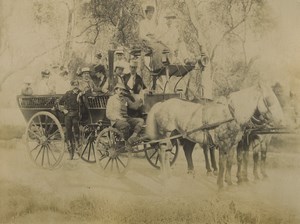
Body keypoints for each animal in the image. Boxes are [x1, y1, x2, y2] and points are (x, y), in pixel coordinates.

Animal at [146, 84, 284, 187]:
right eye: (269, 99)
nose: (281, 120)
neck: (231, 114)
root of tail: (161, 104)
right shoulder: (227, 143)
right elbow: (225, 162)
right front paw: (224, 184)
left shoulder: (235, 143)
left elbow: (232, 161)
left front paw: (231, 182)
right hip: (166, 135)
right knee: (163, 152)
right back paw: (165, 178)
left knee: (176, 151)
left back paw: (176, 174)